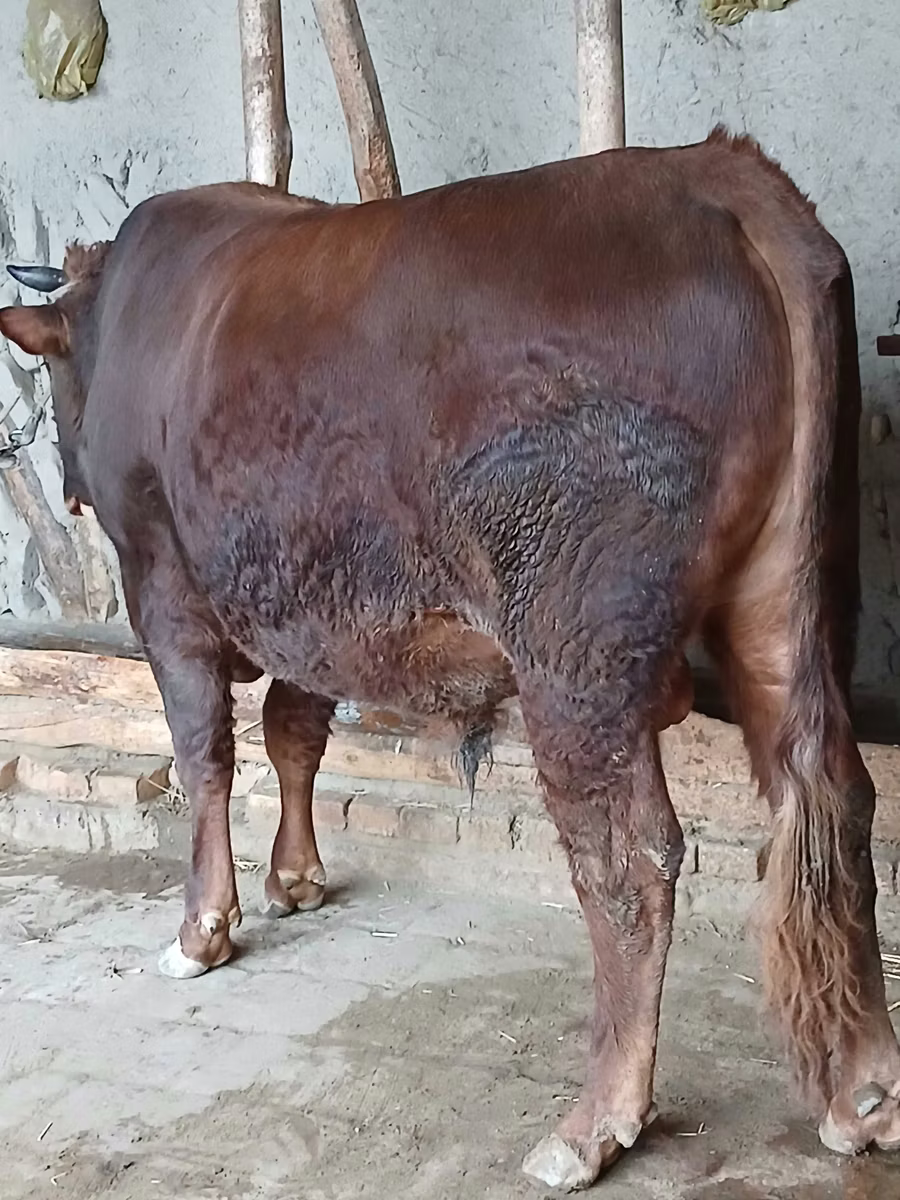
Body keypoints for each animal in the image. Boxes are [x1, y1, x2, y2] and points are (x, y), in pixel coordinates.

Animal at [1, 127, 897, 1189]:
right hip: (787, 604)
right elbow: (294, 733)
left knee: (630, 857)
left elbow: (203, 756)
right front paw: (296, 877)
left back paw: (595, 1123)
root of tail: (715, 172)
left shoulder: (164, 588)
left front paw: (202, 927)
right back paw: (864, 1094)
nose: (68, 482)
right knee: (832, 795)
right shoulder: (311, 599)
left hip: (575, 655)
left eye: (56, 369)